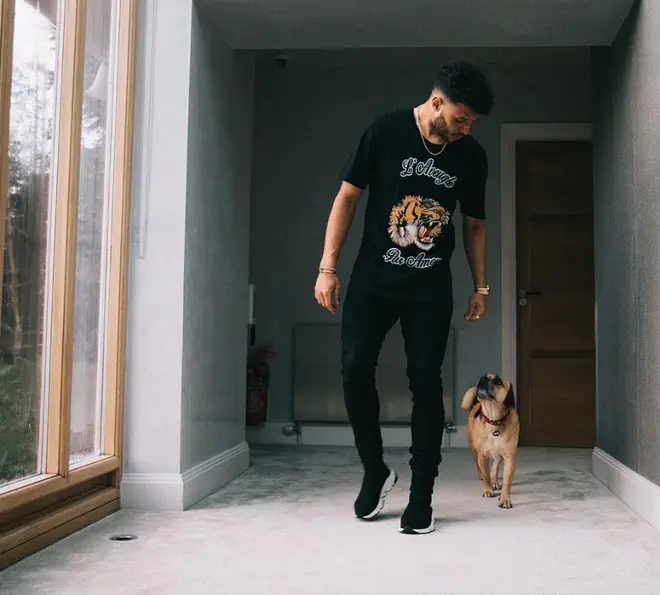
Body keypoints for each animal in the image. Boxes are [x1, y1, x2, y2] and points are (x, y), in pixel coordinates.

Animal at [458, 374, 520, 510]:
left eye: (498, 381)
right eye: (483, 376)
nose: (483, 378)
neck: (494, 420)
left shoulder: (510, 458)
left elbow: (507, 481)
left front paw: (504, 499)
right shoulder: (482, 455)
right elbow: (486, 473)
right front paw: (488, 490)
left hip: (498, 456)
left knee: (495, 468)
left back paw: (494, 482)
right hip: (474, 450)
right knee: (479, 466)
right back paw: (484, 479)